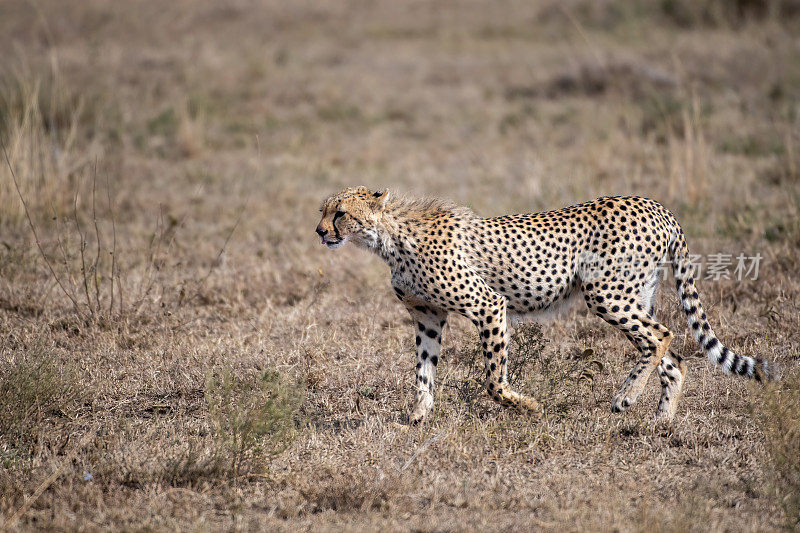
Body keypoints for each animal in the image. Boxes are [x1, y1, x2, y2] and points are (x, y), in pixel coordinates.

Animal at [316, 187, 772, 424]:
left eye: (340, 213)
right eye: (323, 211)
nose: (320, 232)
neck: (389, 238)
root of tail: (654, 203)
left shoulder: (489, 305)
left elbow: (493, 381)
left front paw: (527, 405)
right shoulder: (429, 317)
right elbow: (423, 373)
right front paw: (417, 420)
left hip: (606, 293)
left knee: (662, 335)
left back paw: (626, 397)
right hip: (637, 295)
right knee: (670, 355)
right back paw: (660, 421)